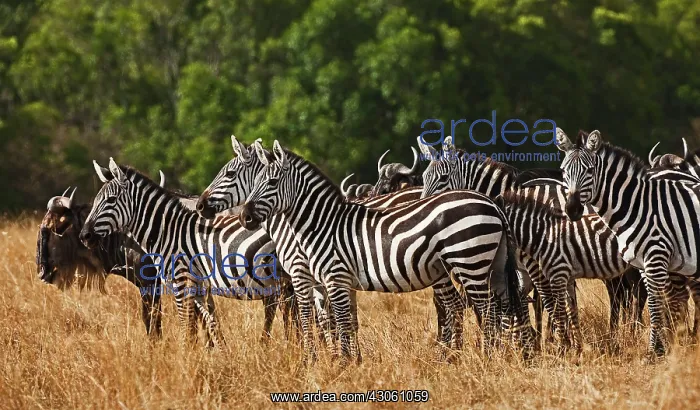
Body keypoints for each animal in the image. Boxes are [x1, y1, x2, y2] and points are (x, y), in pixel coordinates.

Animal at [79, 158, 293, 347]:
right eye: (95, 201)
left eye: (110, 200)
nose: (85, 236)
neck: (171, 232)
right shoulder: (197, 286)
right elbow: (204, 323)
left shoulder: (181, 282)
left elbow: (186, 327)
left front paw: (187, 360)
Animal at [196, 137, 464, 361]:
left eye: (229, 173)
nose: (199, 205)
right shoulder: (319, 277)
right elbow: (334, 318)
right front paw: (345, 357)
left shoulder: (299, 272)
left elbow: (313, 317)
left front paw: (317, 357)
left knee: (450, 304)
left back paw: (448, 353)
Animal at [238, 140, 534, 363]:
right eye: (256, 181)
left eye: (272, 181)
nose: (245, 217)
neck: (323, 223)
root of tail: (491, 203)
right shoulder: (333, 281)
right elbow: (342, 321)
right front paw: (348, 362)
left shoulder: (335, 277)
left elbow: (340, 320)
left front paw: (342, 365)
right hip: (494, 264)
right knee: (498, 307)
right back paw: (496, 358)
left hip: (470, 261)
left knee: (486, 310)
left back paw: (486, 360)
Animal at [547, 128, 700, 359]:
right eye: (564, 171)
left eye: (590, 170)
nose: (572, 209)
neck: (639, 207)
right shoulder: (644, 265)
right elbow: (654, 303)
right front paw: (661, 348)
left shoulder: (655, 258)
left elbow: (654, 305)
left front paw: (653, 352)